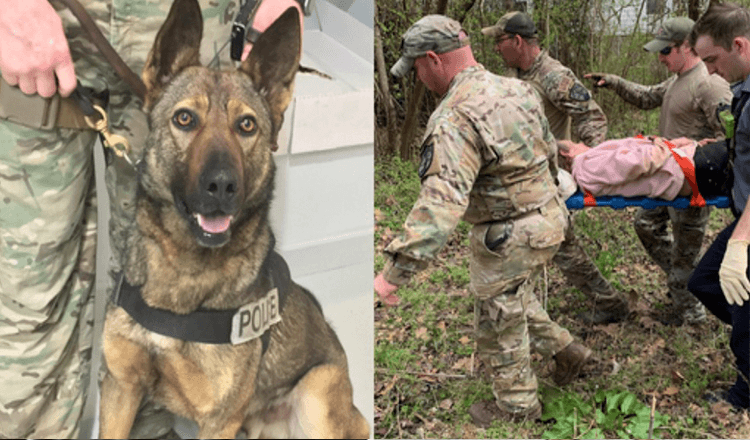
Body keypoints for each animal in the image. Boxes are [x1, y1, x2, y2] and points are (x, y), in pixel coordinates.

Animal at [99, 0, 370, 436]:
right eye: (185, 119)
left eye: (246, 125)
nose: (223, 186)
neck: (183, 269)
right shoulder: (121, 388)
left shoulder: (220, 420)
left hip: (317, 393)